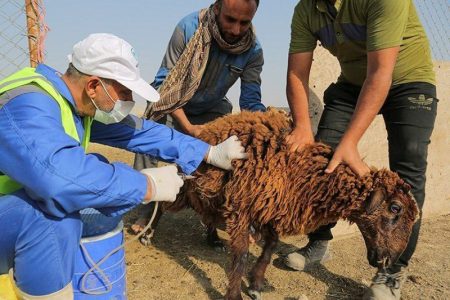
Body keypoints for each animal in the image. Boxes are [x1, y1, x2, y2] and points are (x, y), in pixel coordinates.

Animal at [161, 109, 418, 300]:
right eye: (395, 208)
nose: (390, 260)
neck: (301, 171)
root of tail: (211, 125)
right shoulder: (242, 208)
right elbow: (242, 255)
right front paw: (235, 294)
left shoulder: (269, 209)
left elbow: (270, 247)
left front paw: (256, 283)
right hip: (189, 187)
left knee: (210, 216)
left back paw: (213, 239)